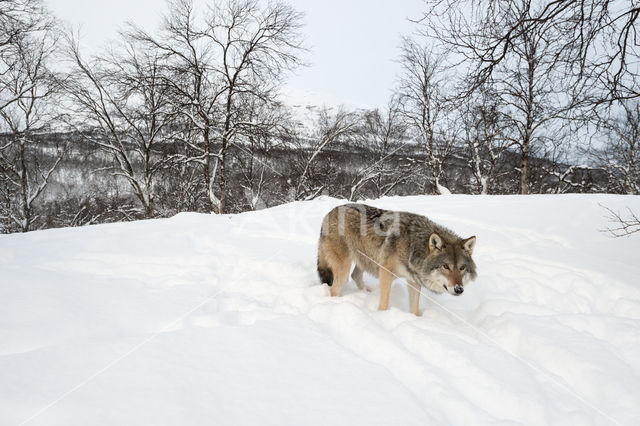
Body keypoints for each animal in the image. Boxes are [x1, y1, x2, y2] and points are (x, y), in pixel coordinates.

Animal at [318, 203, 478, 316]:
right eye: (445, 266)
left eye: (462, 268)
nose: (459, 289)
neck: (411, 246)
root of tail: (329, 213)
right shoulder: (386, 273)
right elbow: (384, 304)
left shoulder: (413, 281)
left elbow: (414, 309)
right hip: (344, 269)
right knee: (334, 288)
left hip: (365, 261)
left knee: (355, 276)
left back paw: (367, 292)